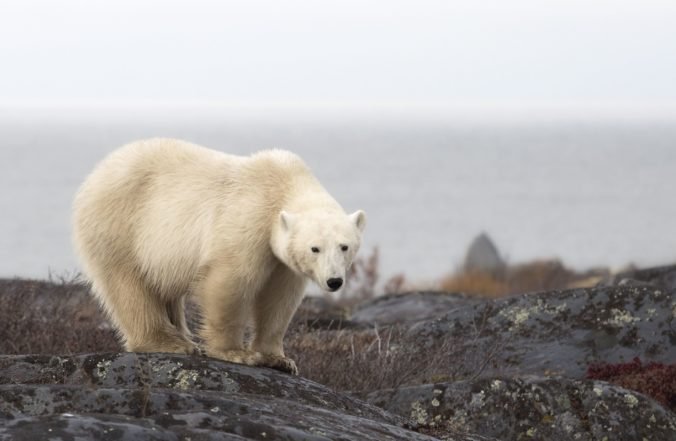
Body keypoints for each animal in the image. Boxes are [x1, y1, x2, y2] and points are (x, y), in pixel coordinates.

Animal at [72, 139, 364, 372]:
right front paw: (236, 353)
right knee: (130, 286)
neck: (283, 183)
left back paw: (183, 337)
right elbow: (231, 282)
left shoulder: (283, 262)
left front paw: (279, 359)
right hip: (120, 225)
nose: (334, 281)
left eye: (344, 246)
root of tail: (96, 173)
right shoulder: (249, 219)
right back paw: (170, 342)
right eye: (315, 248)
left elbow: (279, 299)